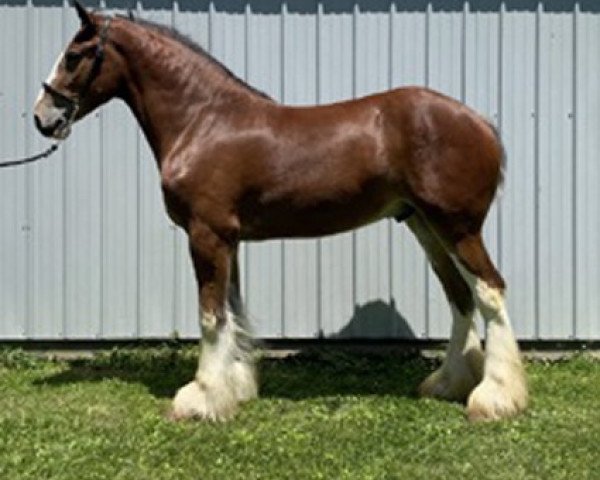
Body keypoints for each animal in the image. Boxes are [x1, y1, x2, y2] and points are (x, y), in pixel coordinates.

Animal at [35, 2, 528, 424]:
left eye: (74, 56)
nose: (43, 117)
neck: (204, 121)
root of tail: (481, 124)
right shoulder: (227, 239)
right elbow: (232, 310)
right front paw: (234, 388)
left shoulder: (206, 234)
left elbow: (211, 315)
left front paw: (200, 398)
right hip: (426, 227)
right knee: (460, 297)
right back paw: (449, 384)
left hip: (457, 227)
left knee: (489, 291)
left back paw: (494, 398)